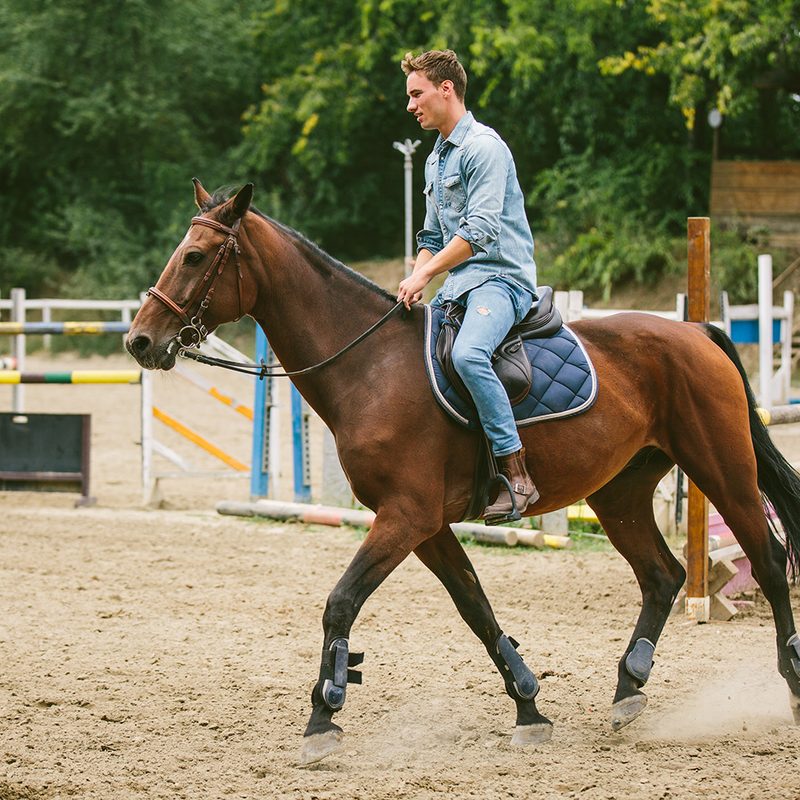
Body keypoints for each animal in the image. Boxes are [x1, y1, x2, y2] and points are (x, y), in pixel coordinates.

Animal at [126, 180, 800, 764]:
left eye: (194, 257)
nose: (139, 341)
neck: (371, 366)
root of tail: (695, 332)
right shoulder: (424, 525)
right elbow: (475, 607)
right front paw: (528, 707)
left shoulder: (405, 516)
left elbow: (341, 603)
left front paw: (323, 715)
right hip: (621, 492)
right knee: (663, 575)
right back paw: (629, 688)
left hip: (721, 467)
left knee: (768, 560)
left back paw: (790, 681)